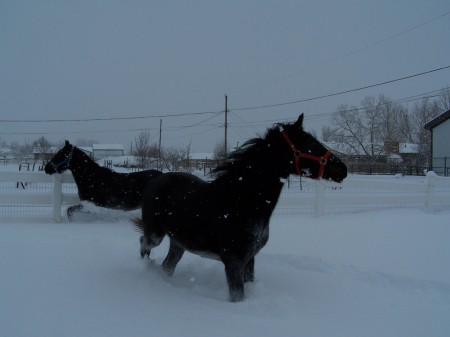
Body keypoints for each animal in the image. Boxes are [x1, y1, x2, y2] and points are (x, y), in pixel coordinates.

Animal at [134, 114, 348, 300]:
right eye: (309, 143)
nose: (343, 169)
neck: (242, 199)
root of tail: (155, 178)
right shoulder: (234, 260)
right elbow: (237, 296)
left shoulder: (249, 259)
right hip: (156, 234)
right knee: (144, 242)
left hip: (179, 242)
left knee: (167, 265)